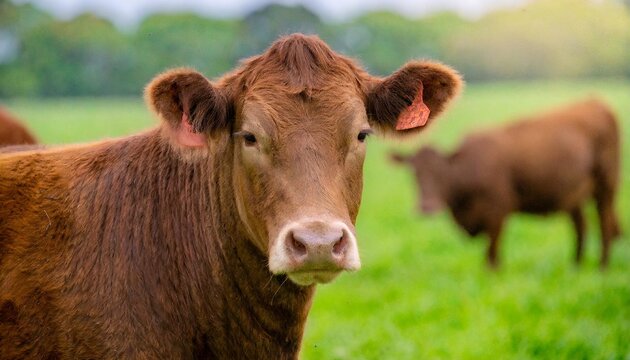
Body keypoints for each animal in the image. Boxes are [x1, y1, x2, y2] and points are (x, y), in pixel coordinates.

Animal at [396, 98, 624, 268]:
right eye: (414, 174)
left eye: (440, 172)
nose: (427, 206)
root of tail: (596, 102)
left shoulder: (497, 211)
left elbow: (491, 256)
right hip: (573, 194)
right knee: (581, 227)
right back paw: (575, 266)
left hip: (607, 186)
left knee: (604, 225)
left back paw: (602, 267)